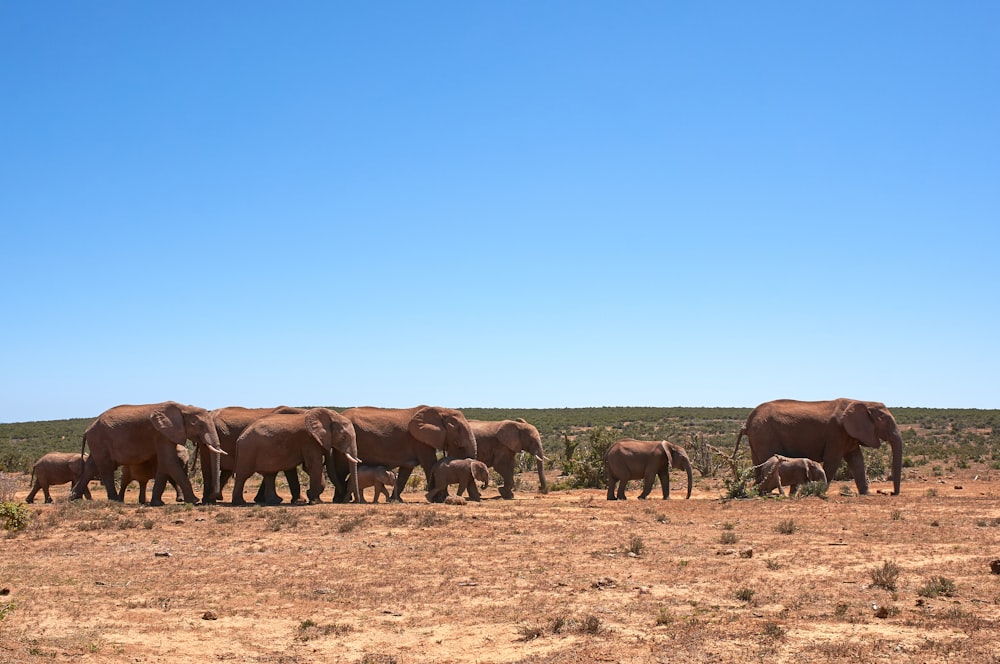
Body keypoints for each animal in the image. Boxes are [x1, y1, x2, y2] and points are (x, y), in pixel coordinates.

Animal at [70, 402, 225, 506]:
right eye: (196, 424)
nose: (216, 497)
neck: (183, 408)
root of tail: (87, 429)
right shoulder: (161, 434)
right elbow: (169, 462)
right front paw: (194, 501)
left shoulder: (165, 435)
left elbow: (164, 464)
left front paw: (157, 503)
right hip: (100, 440)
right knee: (106, 468)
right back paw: (114, 500)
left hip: (97, 442)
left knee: (91, 467)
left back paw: (73, 498)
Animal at [231, 408, 364, 506]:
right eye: (344, 437)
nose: (353, 501)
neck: (330, 416)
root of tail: (239, 437)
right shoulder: (309, 441)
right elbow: (314, 465)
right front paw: (315, 501)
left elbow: (309, 467)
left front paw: (313, 499)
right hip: (248, 451)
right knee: (243, 475)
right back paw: (240, 503)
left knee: (270, 474)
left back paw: (275, 501)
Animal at [334, 404, 478, 504]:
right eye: (457, 429)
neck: (441, 410)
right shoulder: (419, 441)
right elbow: (429, 464)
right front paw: (440, 499)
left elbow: (405, 471)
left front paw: (396, 500)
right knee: (341, 470)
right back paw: (340, 500)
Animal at [732, 396, 904, 496]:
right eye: (886, 421)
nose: (891, 493)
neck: (863, 401)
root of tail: (747, 422)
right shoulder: (836, 433)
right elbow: (833, 462)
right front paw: (820, 491)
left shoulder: (848, 435)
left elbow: (857, 461)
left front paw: (866, 494)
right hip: (765, 435)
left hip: (758, 437)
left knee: (757, 464)